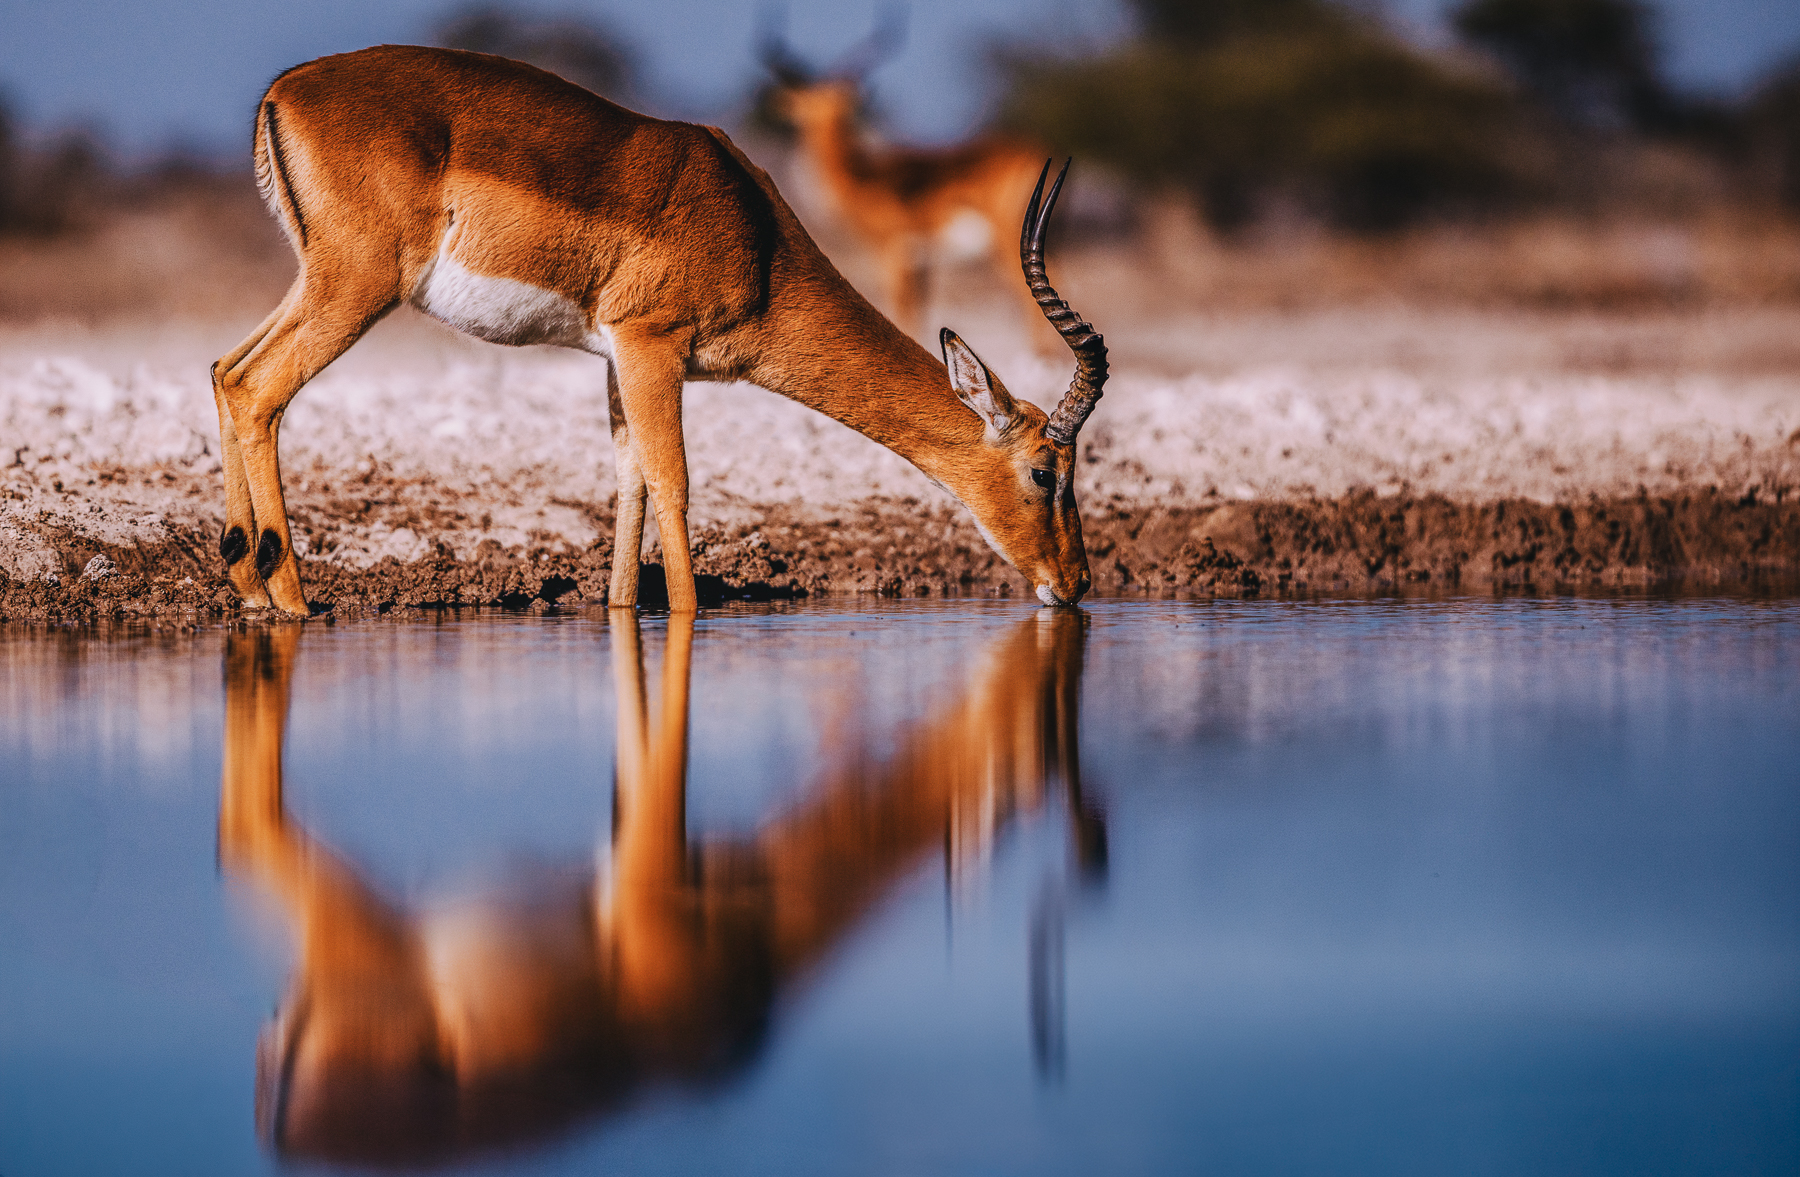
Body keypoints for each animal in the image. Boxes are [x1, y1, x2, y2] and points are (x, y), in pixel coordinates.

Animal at [760, 16, 1054, 341]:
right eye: (812, 107)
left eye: (835, 107)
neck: (866, 178)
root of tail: (1039, 152)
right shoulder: (922, 261)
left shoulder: (894, 253)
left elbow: (902, 309)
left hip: (1008, 239)